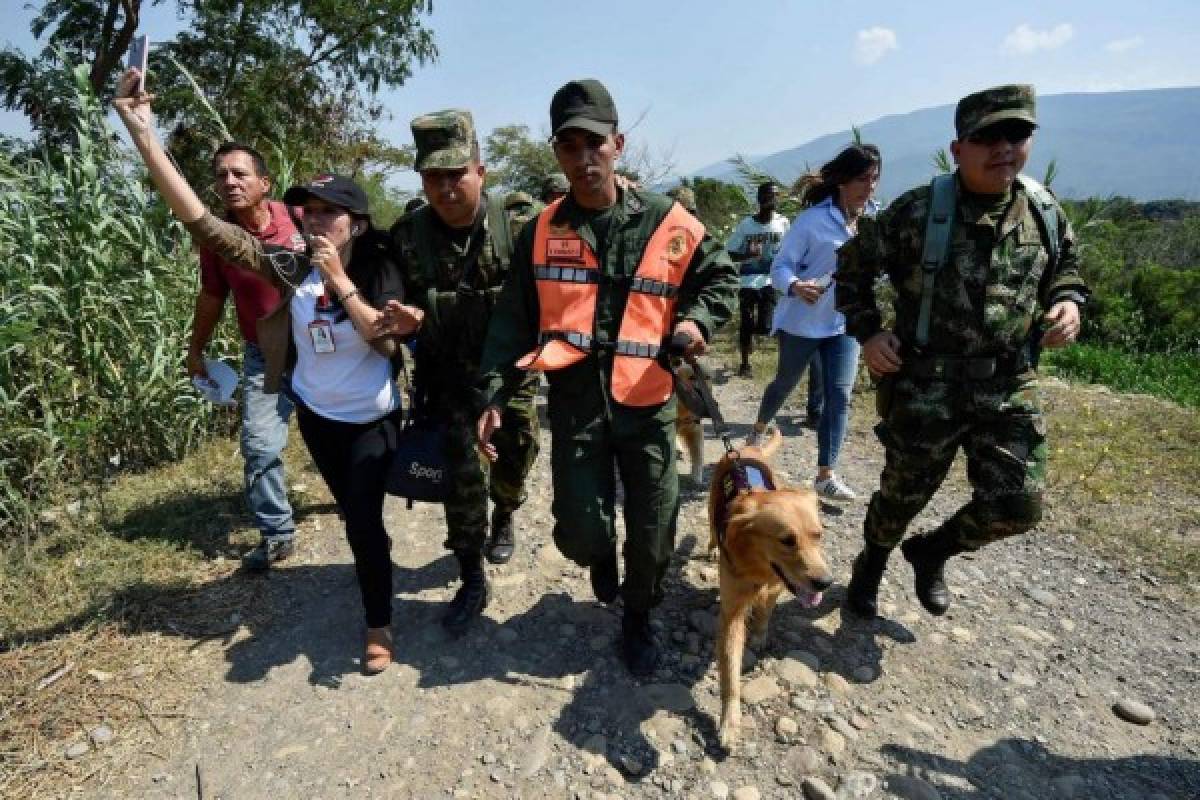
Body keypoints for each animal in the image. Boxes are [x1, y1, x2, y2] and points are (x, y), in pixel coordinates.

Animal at [705, 429, 830, 748]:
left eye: (818, 535)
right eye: (787, 540)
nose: (825, 583)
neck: (756, 565)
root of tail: (748, 449)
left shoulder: (775, 588)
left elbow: (765, 614)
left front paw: (760, 636)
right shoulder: (731, 613)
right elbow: (730, 673)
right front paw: (730, 721)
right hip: (712, 504)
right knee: (711, 527)